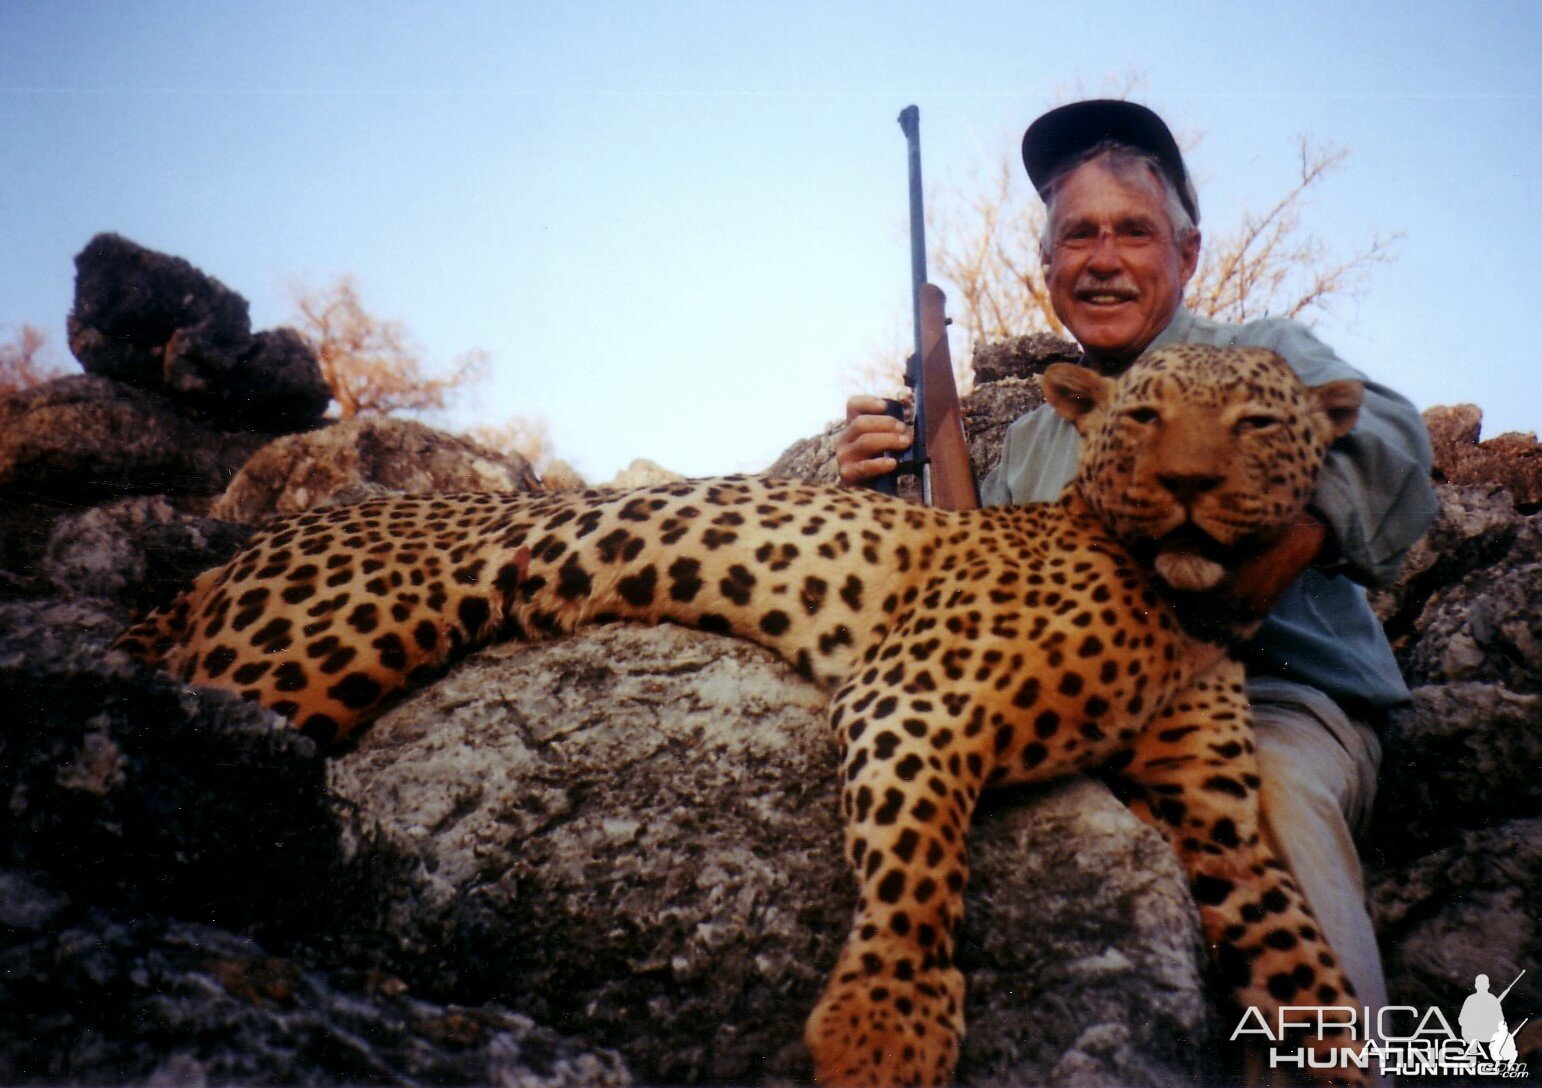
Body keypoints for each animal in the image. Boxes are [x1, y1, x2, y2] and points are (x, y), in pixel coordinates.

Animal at [123, 345, 1375, 1084]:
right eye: (1146, 413)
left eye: (1259, 424)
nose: (1189, 486)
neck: (1179, 599)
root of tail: (266, 533)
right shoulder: (916, 695)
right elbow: (920, 867)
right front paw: (884, 1025)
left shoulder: (1221, 822)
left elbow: (1306, 959)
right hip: (317, 649)